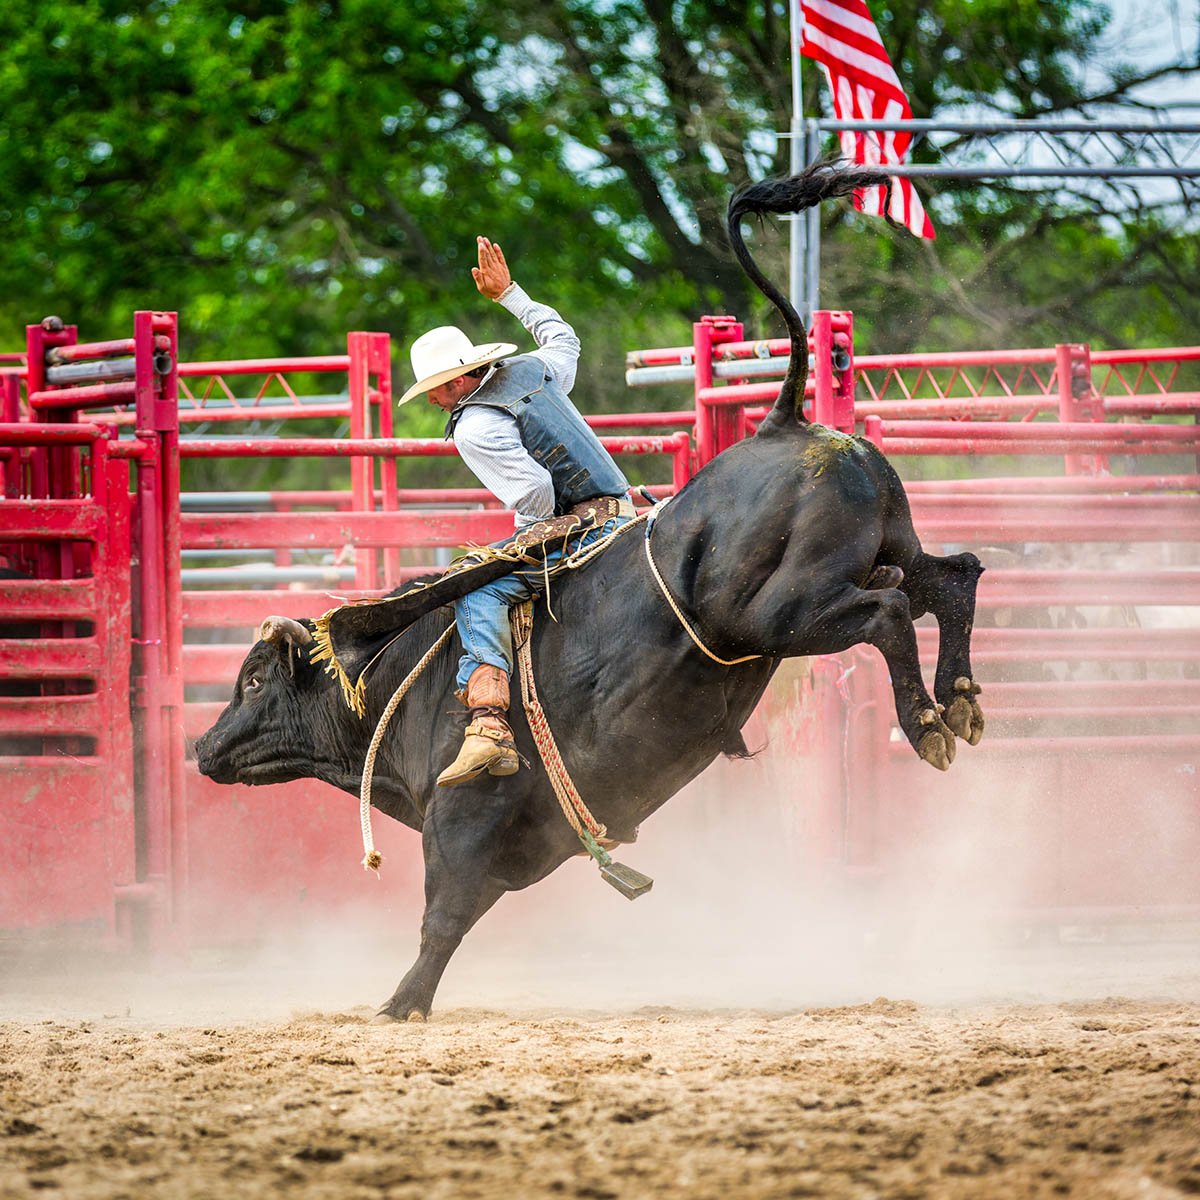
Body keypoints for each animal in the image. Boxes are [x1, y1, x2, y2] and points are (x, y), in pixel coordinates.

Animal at [194, 162, 984, 1022]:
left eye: (254, 681)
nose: (202, 747)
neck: (396, 677)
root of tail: (785, 425)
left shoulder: (462, 818)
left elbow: (443, 915)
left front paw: (400, 1004)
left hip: (778, 613)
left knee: (889, 610)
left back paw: (926, 724)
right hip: (888, 549)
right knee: (954, 576)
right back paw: (960, 700)